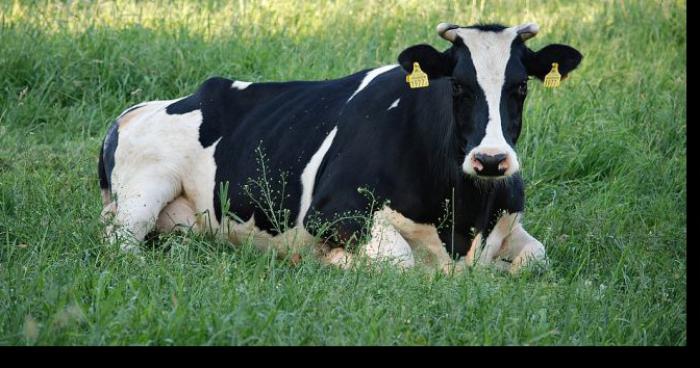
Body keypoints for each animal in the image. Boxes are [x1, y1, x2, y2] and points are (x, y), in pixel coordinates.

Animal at [97, 22, 580, 274]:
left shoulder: (510, 222)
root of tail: (135, 111)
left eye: (521, 87)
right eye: (458, 86)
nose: (491, 160)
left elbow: (535, 257)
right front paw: (336, 263)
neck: (464, 220)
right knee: (120, 241)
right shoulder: (331, 213)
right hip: (145, 188)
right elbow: (401, 260)